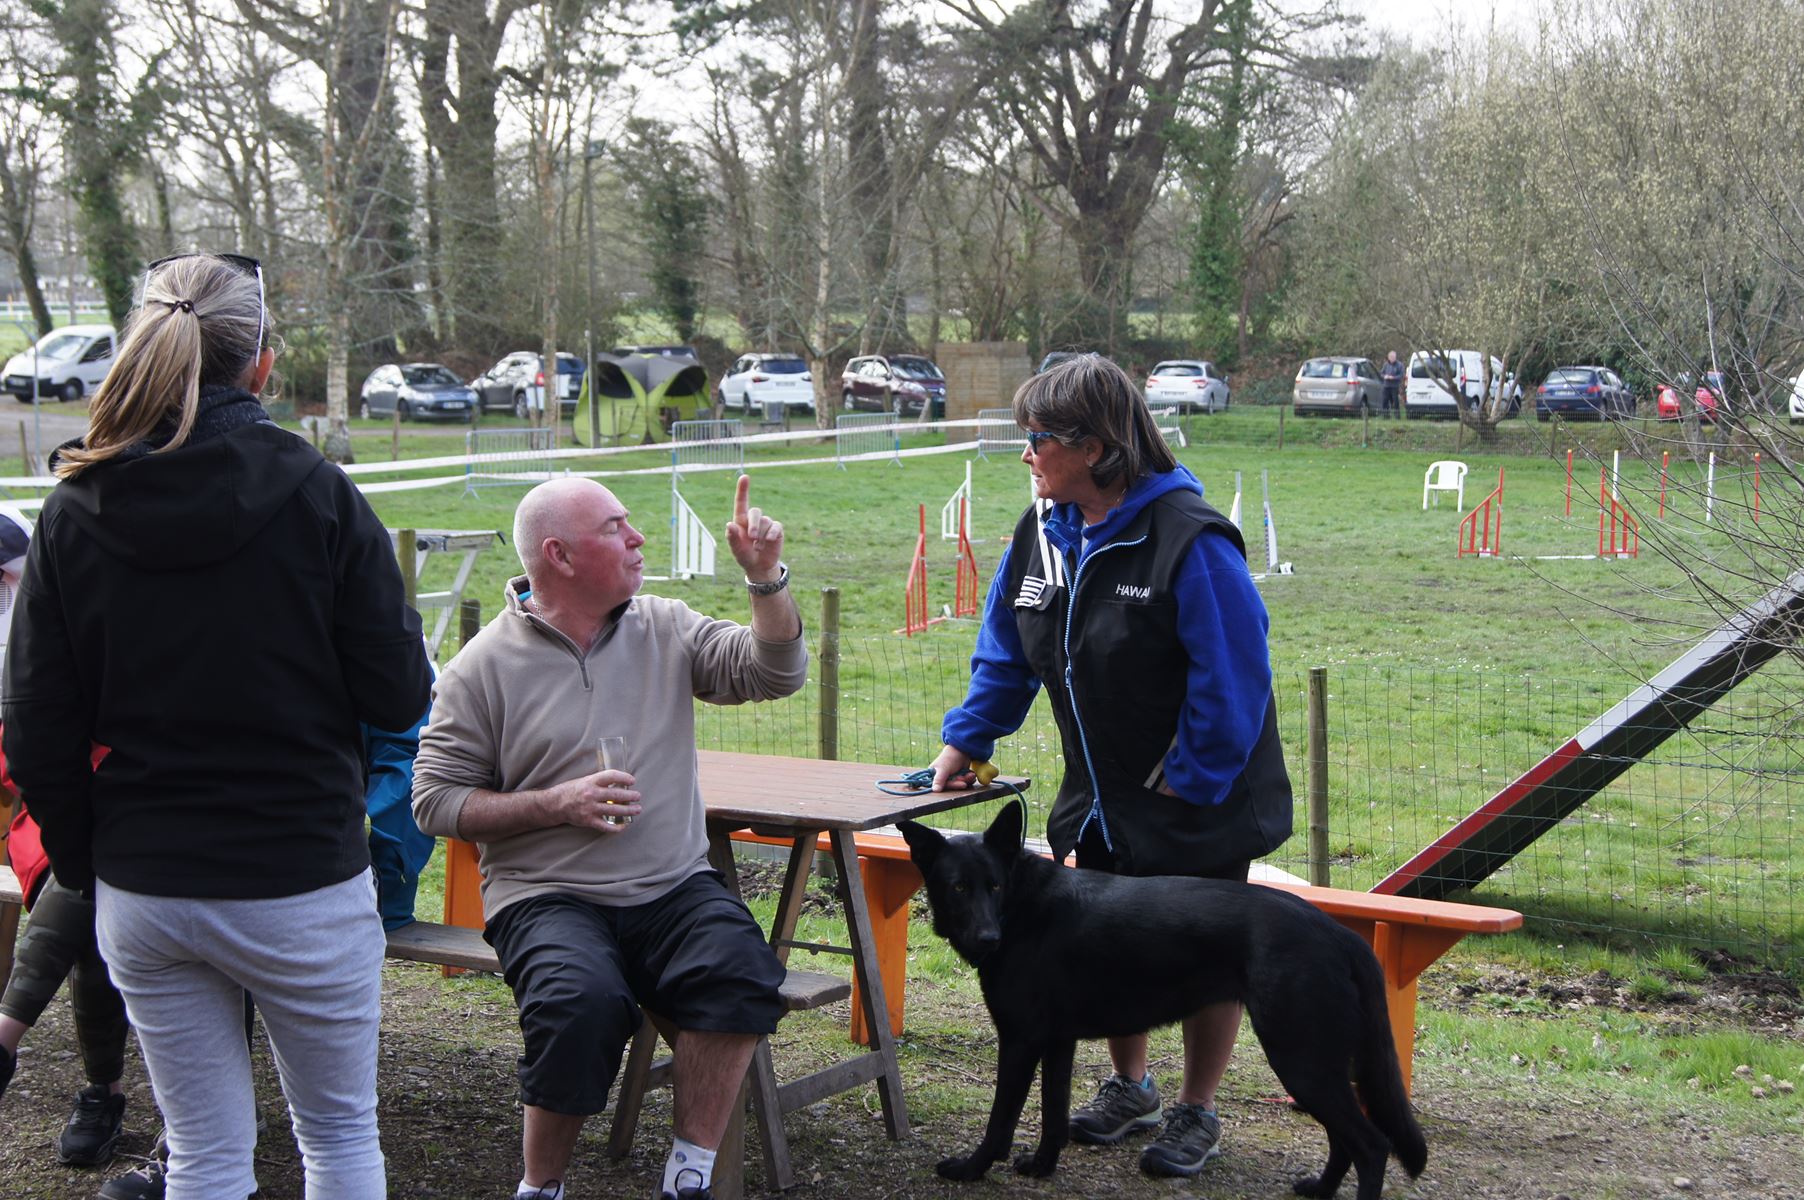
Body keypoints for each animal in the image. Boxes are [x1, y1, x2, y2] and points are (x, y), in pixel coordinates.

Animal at [902, 801, 1421, 1198]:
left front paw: (971, 1168)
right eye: (958, 886)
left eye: (993, 885)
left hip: (1300, 1059)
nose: (989, 939)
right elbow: (1052, 1113)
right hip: (1315, 1065)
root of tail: (1336, 934)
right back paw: (1319, 1189)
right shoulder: (1056, 1043)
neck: (1021, 908)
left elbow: (1000, 1120)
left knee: (1371, 1145)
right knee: (1343, 1139)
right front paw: (1042, 1166)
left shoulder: (1020, 1041)